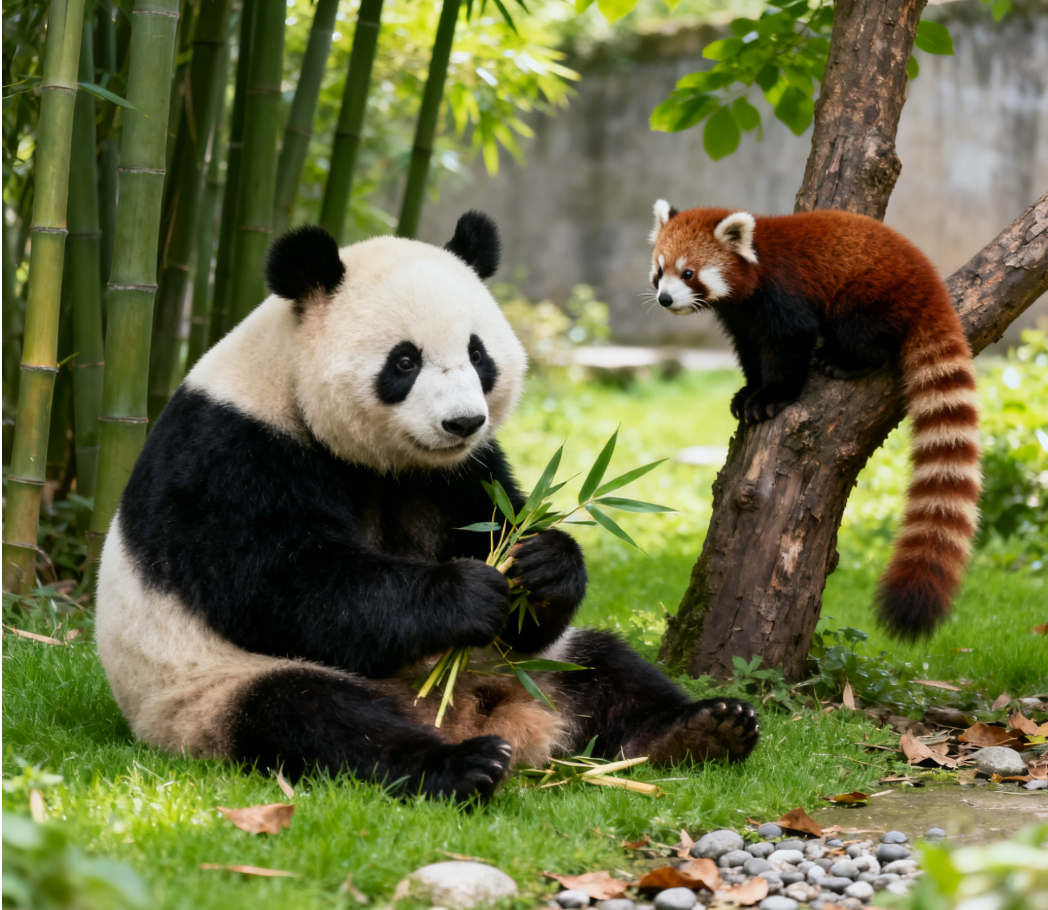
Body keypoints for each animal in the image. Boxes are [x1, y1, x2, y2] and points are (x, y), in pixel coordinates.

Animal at [95, 212, 760, 802]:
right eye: (405, 361)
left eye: (478, 355)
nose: (462, 421)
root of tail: (471, 710)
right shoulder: (233, 452)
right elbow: (282, 584)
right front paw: (464, 593)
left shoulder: (463, 472)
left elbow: (503, 548)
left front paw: (539, 562)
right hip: (206, 694)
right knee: (312, 717)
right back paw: (462, 766)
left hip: (533, 667)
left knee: (606, 666)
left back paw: (703, 729)